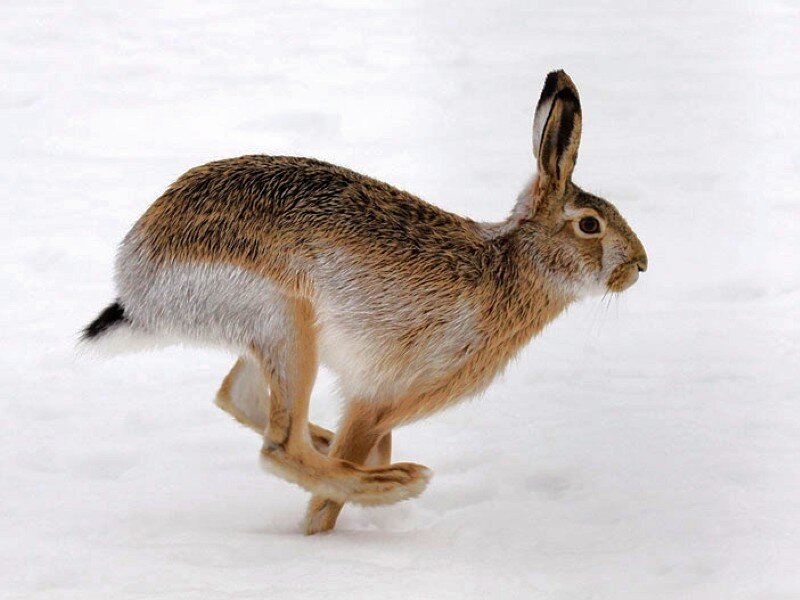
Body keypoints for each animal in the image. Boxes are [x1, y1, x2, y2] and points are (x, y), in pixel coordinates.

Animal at [81, 70, 647, 534]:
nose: (640, 265)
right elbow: (327, 495)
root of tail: (136, 276)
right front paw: (318, 534)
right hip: (284, 317)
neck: (513, 264)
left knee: (237, 396)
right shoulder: (377, 398)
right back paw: (392, 481)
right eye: (590, 225)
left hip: (267, 333)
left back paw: (337, 449)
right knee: (278, 448)